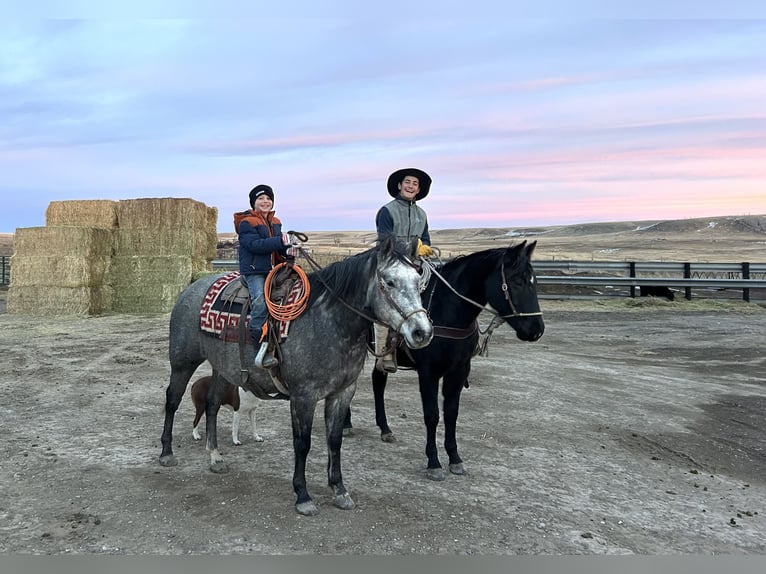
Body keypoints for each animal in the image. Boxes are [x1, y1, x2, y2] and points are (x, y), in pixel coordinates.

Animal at [159, 236, 434, 515]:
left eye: (418, 281)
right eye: (389, 281)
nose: (422, 332)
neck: (330, 322)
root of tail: (190, 288)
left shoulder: (343, 392)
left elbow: (334, 440)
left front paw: (339, 490)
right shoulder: (303, 395)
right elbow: (302, 443)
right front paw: (303, 495)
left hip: (222, 368)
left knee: (212, 404)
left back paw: (215, 456)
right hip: (182, 362)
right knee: (172, 400)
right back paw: (167, 453)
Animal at [344, 240, 545, 480]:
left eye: (534, 281)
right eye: (517, 281)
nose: (536, 330)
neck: (448, 310)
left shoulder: (459, 371)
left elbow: (451, 413)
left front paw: (455, 458)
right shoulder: (428, 372)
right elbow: (432, 415)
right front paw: (434, 462)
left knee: (378, 383)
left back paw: (385, 429)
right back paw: (346, 424)